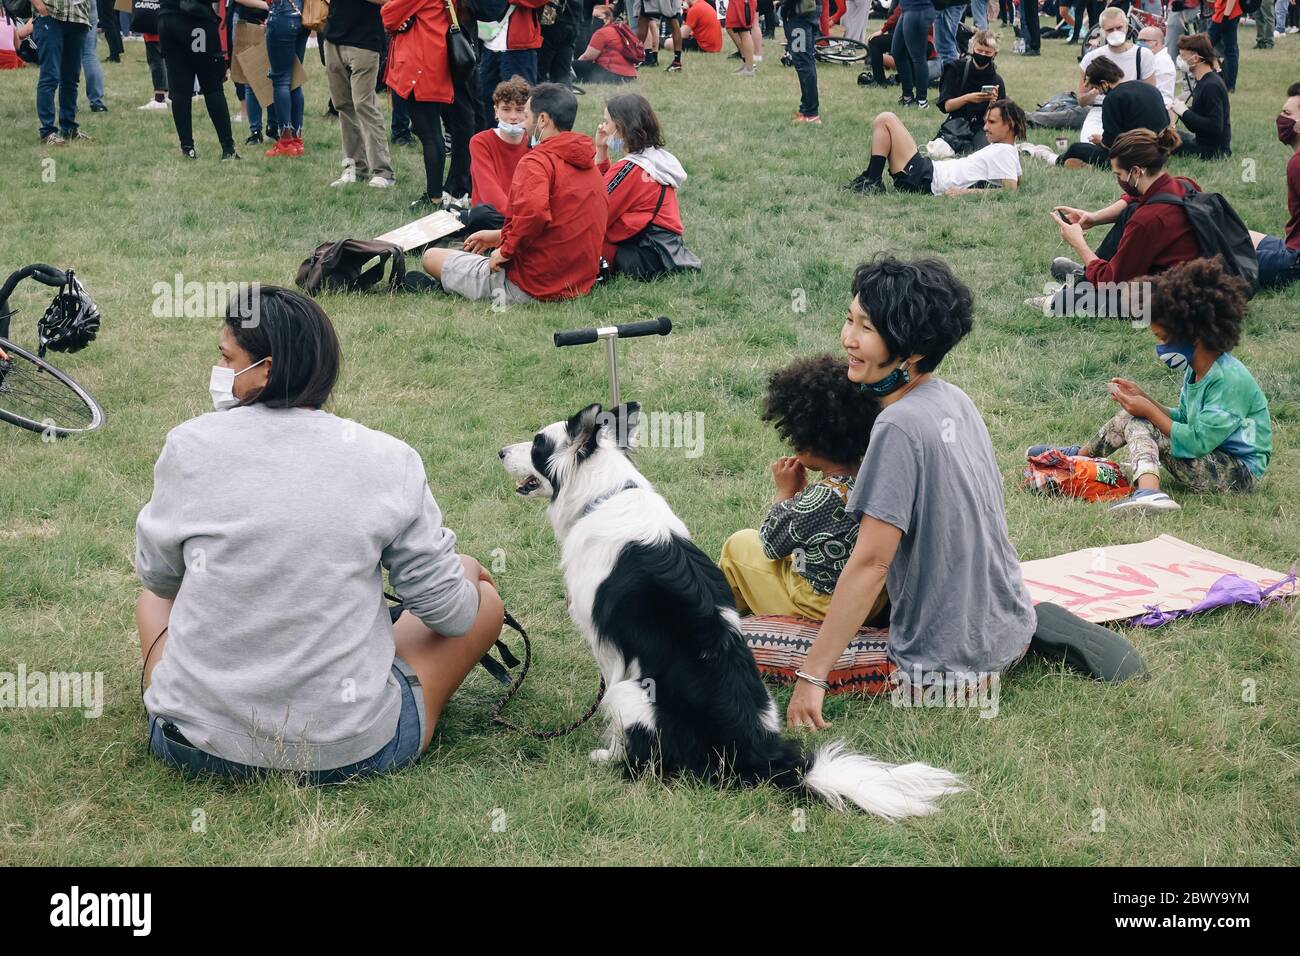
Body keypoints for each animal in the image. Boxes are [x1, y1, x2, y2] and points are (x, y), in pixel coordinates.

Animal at [496, 400, 967, 816]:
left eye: (537, 443)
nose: (499, 451)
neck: (605, 494)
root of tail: (762, 752)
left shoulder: (611, 654)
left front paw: (607, 748)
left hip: (632, 693)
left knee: (653, 761)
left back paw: (615, 761)